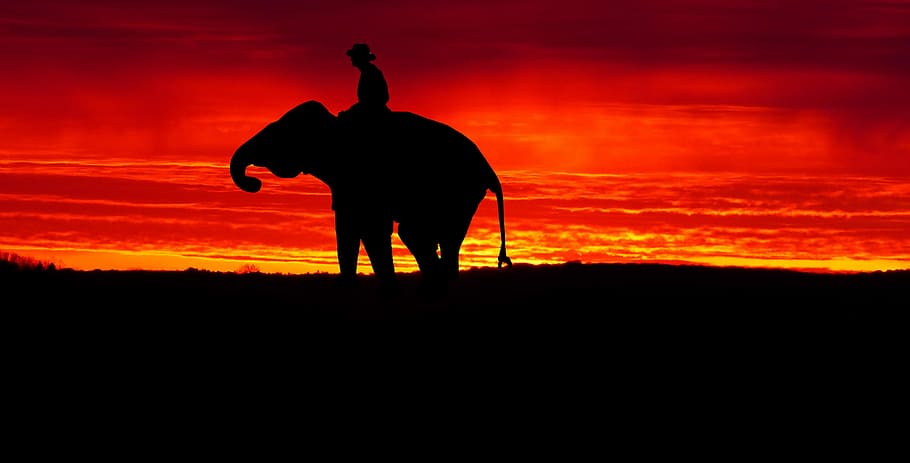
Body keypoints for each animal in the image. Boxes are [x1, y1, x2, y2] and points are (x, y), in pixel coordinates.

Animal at [230, 100, 512, 292]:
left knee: (416, 233)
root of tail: (490, 171)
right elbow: (350, 227)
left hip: (456, 192)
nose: (255, 183)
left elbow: (371, 228)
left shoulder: (363, 180)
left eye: (278, 135)